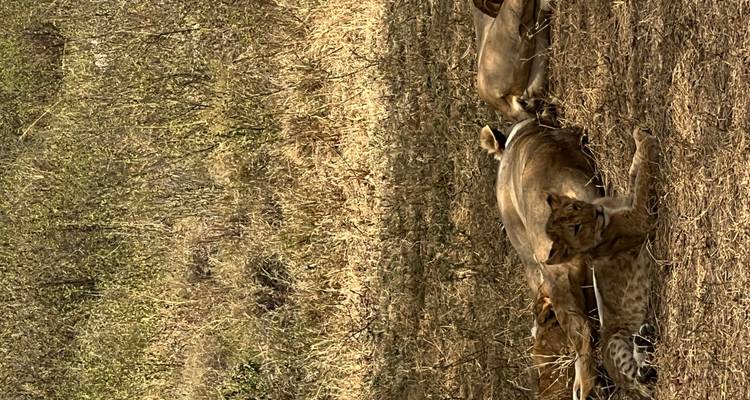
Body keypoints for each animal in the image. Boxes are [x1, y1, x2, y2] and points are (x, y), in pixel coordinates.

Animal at [544, 127, 659, 392]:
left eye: (574, 208)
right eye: (575, 229)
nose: (594, 212)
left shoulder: (628, 202)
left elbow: (634, 172)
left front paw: (639, 135)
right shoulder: (640, 219)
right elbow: (643, 179)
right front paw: (648, 145)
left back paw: (644, 339)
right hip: (614, 344)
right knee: (642, 382)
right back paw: (644, 353)